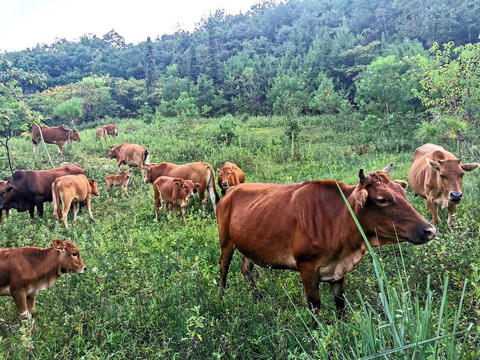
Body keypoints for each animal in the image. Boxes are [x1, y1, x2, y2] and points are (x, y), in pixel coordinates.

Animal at [217, 164, 436, 320]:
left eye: (403, 193)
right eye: (382, 199)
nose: (429, 230)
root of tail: (232, 189)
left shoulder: (339, 269)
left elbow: (340, 303)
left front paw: (342, 329)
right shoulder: (307, 268)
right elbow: (315, 306)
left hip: (248, 246)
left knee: (246, 268)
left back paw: (257, 298)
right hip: (226, 240)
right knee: (223, 266)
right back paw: (223, 297)